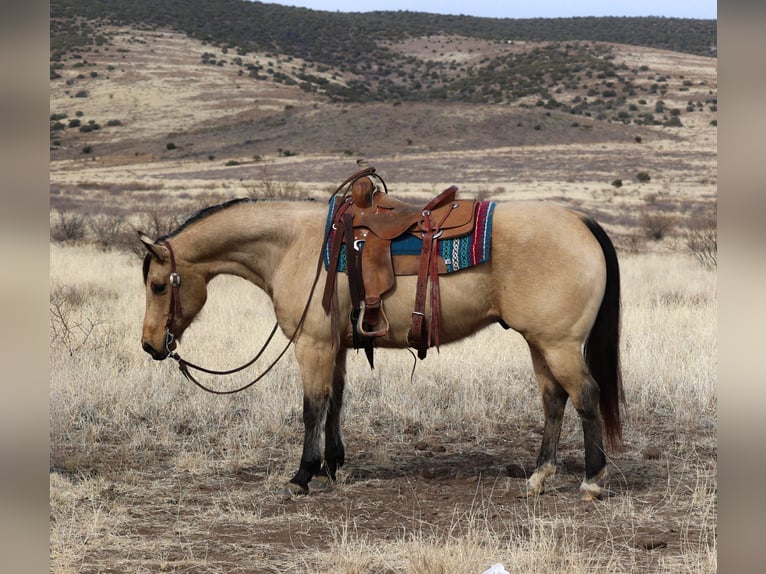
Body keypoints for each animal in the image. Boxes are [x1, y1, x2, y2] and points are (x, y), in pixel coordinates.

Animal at [140, 170, 624, 500]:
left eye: (159, 285)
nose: (150, 345)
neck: (294, 246)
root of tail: (580, 221)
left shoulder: (312, 345)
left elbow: (311, 408)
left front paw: (302, 475)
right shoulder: (335, 346)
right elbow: (335, 402)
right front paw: (332, 466)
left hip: (559, 345)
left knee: (585, 396)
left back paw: (592, 481)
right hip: (540, 343)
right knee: (554, 401)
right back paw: (539, 476)